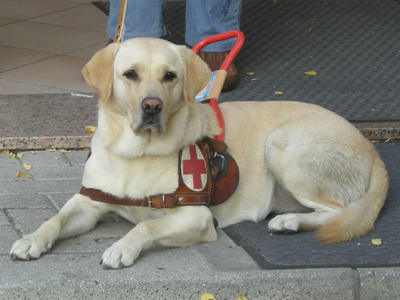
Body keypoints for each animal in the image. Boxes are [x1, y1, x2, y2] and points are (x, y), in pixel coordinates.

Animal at [10, 37, 388, 270]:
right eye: (130, 74)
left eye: (170, 76)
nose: (152, 106)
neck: (136, 155)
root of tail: (371, 148)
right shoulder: (89, 203)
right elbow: (54, 219)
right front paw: (31, 239)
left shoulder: (197, 217)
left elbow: (146, 226)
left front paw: (122, 247)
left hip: (282, 144)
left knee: (338, 211)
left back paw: (289, 222)